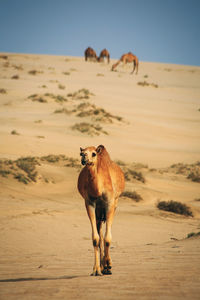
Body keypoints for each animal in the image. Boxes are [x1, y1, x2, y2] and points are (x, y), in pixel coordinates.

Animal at [77, 144, 124, 276]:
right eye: (81, 153)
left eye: (93, 154)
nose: (84, 159)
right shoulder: (90, 203)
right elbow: (96, 238)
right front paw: (96, 270)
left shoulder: (110, 203)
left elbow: (108, 238)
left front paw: (108, 265)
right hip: (99, 211)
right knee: (100, 233)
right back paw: (101, 267)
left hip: (114, 204)